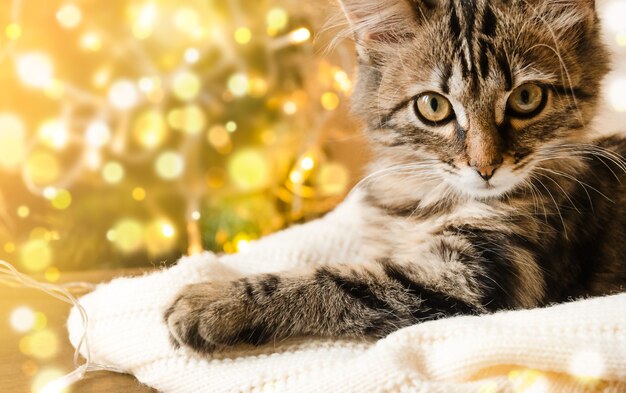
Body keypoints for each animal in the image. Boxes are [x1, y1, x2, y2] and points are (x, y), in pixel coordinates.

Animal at [165, 0, 624, 352]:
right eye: (433, 106)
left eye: (527, 98)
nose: (485, 167)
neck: (426, 198)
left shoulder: (483, 277)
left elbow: (337, 280)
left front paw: (213, 300)